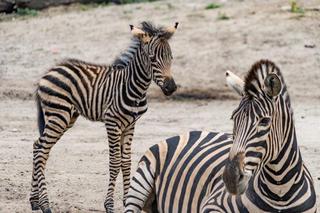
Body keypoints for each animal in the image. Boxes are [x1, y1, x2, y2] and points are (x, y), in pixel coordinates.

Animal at [29, 21, 180, 213]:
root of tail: (47, 73)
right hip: (58, 115)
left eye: (171, 57)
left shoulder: (130, 125)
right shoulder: (112, 123)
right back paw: (46, 205)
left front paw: (127, 200)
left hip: (66, 117)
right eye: (153, 59)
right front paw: (109, 205)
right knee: (42, 152)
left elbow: (126, 162)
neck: (133, 87)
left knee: (38, 146)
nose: (171, 88)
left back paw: (34, 201)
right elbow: (115, 163)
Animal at [124, 59, 316, 212]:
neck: (280, 193)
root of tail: (190, 131)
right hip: (141, 181)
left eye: (264, 121)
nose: (230, 179)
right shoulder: (213, 204)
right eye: (233, 118)